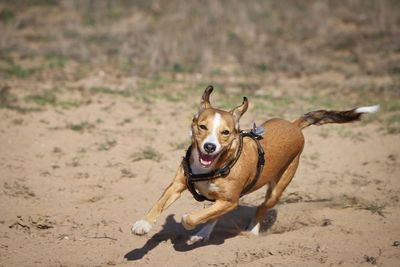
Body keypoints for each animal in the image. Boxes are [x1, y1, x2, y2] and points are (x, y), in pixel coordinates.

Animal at [131, 85, 378, 245]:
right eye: (202, 127)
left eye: (225, 132)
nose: (209, 147)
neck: (212, 166)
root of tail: (295, 125)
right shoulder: (178, 185)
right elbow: (159, 204)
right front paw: (143, 225)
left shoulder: (230, 200)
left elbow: (193, 216)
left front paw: (188, 224)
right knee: (216, 214)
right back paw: (204, 233)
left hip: (276, 190)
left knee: (260, 208)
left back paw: (251, 231)